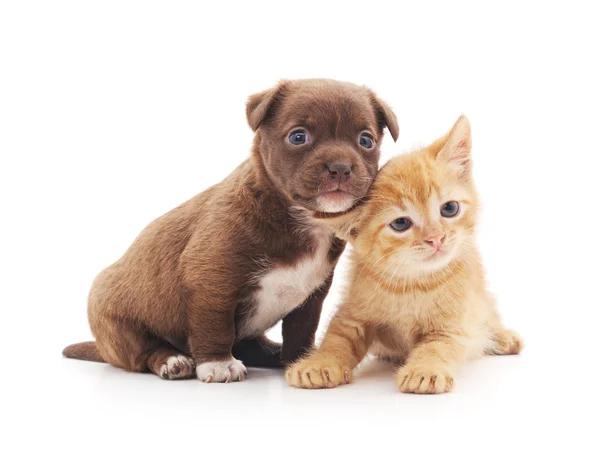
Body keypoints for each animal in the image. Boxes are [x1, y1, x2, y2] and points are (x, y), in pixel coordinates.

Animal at [63, 78, 398, 382]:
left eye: (366, 141)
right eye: (298, 137)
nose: (340, 168)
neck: (300, 218)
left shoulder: (312, 294)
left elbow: (301, 328)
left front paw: (300, 360)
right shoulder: (211, 280)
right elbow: (215, 324)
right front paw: (218, 364)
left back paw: (272, 352)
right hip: (117, 322)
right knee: (143, 352)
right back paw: (173, 360)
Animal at [284, 115, 520, 392]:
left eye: (449, 209)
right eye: (400, 224)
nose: (436, 238)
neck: (413, 283)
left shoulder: (453, 325)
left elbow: (437, 346)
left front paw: (424, 370)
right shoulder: (352, 312)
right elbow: (338, 337)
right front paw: (318, 364)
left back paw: (503, 337)